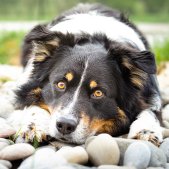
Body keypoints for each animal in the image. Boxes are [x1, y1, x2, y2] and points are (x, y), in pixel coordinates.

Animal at [3, 3, 166, 146]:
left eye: (98, 93)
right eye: (60, 84)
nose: (64, 125)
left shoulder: (150, 95)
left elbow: (150, 111)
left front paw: (146, 130)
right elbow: (32, 104)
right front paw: (34, 126)